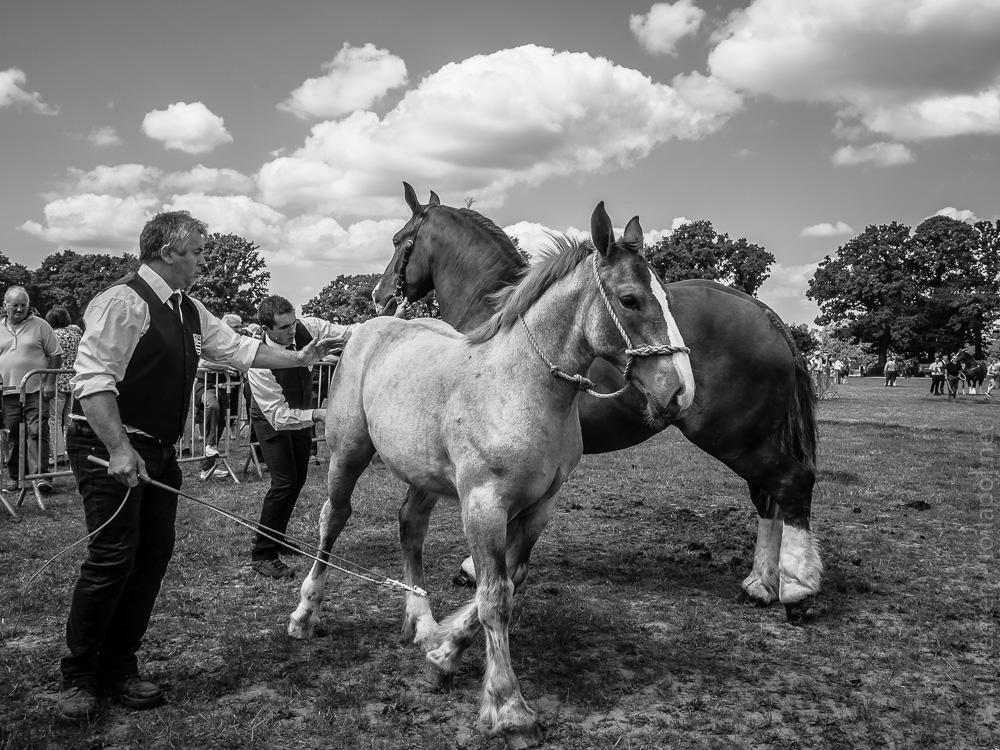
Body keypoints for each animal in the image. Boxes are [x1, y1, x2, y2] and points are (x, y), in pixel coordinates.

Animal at [290, 203, 695, 748]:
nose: (681, 392)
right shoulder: (484, 502)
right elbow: (494, 597)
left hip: (423, 475)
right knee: (332, 520)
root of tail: (369, 327)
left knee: (409, 525)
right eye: (630, 299)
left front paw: (442, 652)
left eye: (668, 299)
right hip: (346, 454)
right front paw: (508, 707)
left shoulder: (539, 506)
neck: (522, 385)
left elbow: (510, 580)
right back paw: (305, 615)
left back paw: (421, 622)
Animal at [372, 183, 822, 622]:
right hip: (750, 439)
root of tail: (761, 311)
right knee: (768, 497)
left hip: (733, 439)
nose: (380, 294)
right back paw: (761, 583)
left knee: (792, 484)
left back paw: (795, 586)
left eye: (398, 240)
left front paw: (471, 567)